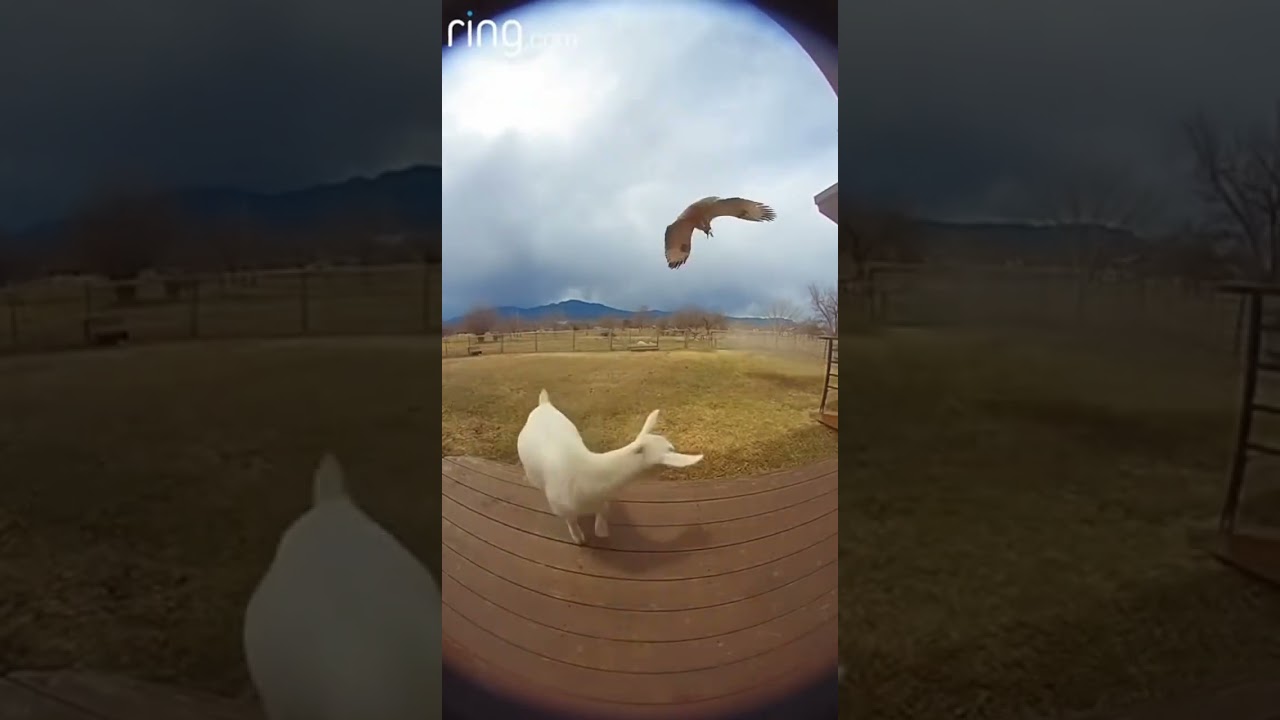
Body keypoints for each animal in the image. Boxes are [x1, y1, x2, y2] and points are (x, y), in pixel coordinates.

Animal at [516, 389, 702, 544]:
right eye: (670, 450)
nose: (675, 448)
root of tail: (544, 404)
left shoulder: (602, 500)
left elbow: (603, 513)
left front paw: (601, 531)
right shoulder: (562, 507)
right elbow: (572, 522)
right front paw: (579, 539)